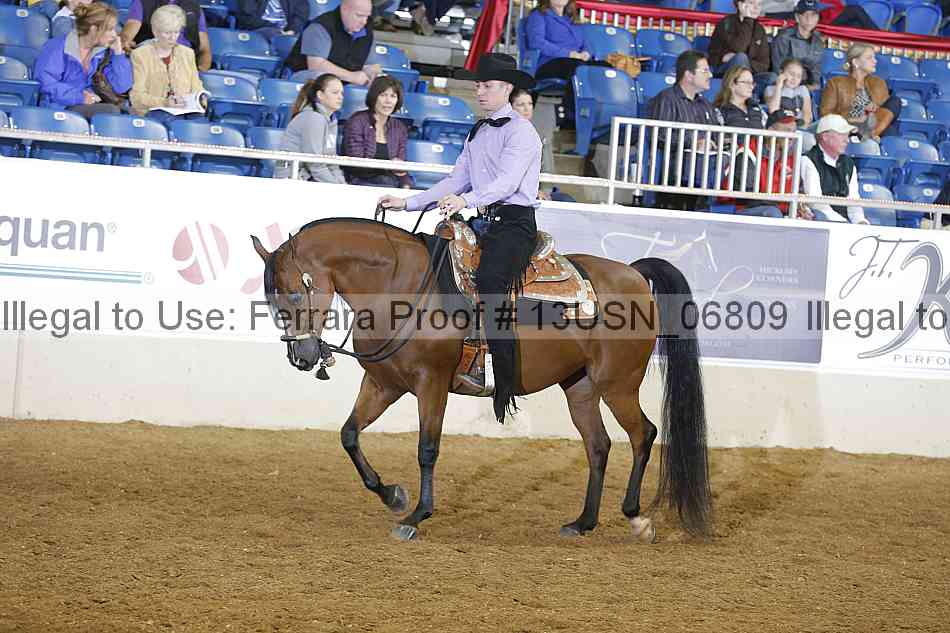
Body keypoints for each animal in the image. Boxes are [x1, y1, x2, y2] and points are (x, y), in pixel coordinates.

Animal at [251, 216, 711, 542]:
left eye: (296, 292)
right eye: (270, 300)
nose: (302, 357)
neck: (401, 287)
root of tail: (632, 274)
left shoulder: (431, 383)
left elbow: (427, 449)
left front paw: (416, 515)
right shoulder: (383, 384)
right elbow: (349, 435)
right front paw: (393, 495)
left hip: (619, 384)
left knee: (643, 434)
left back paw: (636, 518)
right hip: (580, 387)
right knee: (598, 446)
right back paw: (583, 522)